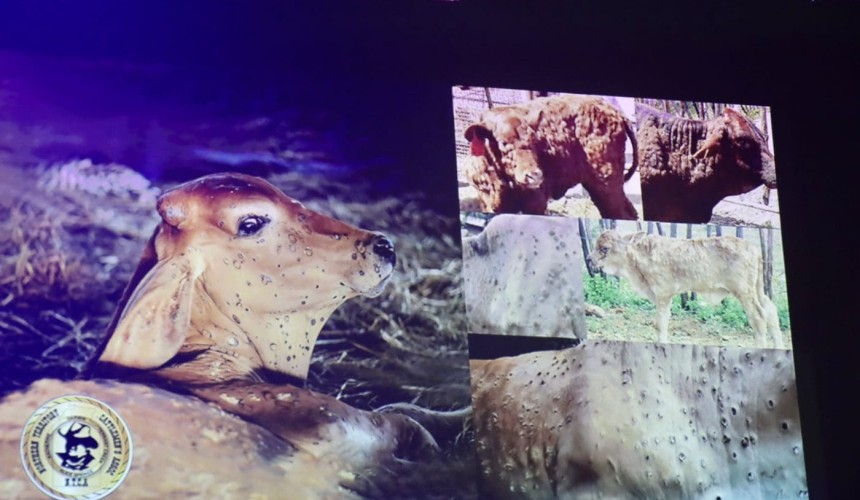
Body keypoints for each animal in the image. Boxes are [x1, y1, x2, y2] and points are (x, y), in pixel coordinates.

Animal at [464, 94, 639, 219]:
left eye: (534, 140)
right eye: (503, 142)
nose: (534, 175)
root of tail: (616, 113)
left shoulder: (536, 202)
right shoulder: (487, 202)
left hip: (607, 184)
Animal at [589, 229, 784, 349]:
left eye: (604, 248)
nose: (590, 259)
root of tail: (753, 248)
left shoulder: (663, 294)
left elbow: (660, 325)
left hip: (744, 292)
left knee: (758, 318)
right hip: (757, 290)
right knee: (771, 311)